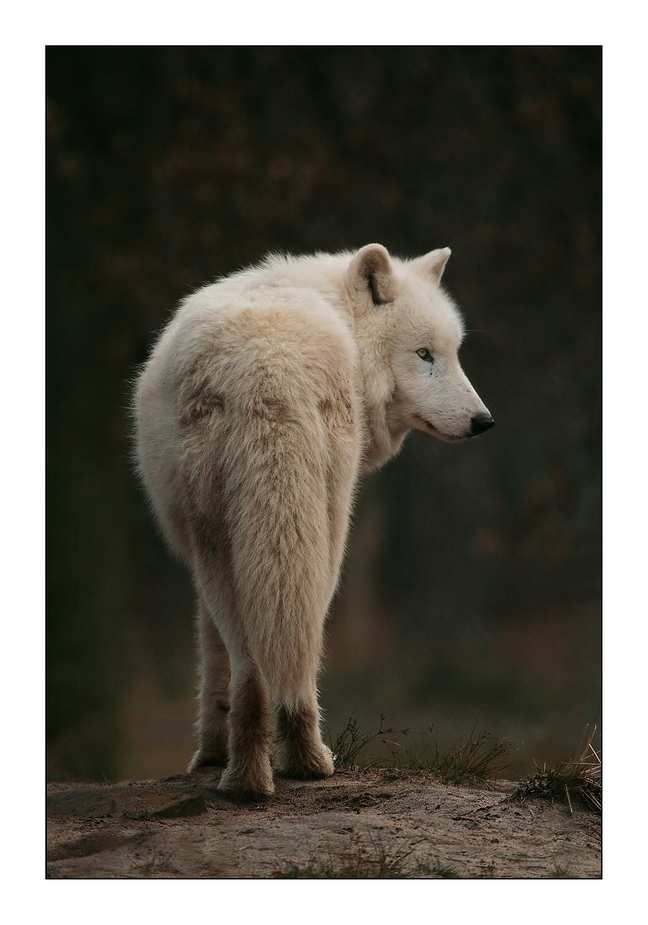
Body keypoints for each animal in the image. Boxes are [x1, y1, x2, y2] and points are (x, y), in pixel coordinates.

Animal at [134, 244, 494, 796]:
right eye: (425, 354)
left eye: (452, 352)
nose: (484, 421)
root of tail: (269, 367)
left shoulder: (199, 564)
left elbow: (214, 661)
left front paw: (210, 756)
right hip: (325, 534)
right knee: (294, 648)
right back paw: (302, 763)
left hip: (245, 544)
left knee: (254, 663)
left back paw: (250, 779)